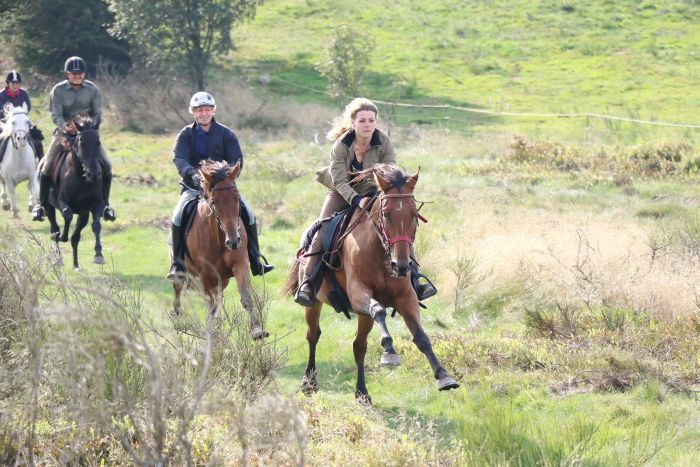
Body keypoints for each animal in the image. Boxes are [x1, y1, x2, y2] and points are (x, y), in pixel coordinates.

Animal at [172, 161, 266, 340]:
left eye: (237, 198)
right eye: (214, 201)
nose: (234, 241)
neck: (218, 239)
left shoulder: (240, 264)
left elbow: (245, 296)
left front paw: (257, 330)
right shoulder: (205, 275)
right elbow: (210, 305)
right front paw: (212, 336)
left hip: (222, 280)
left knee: (218, 299)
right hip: (183, 274)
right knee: (178, 289)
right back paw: (179, 321)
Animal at [284, 164, 460, 402]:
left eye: (414, 214)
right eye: (385, 214)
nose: (401, 266)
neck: (381, 254)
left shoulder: (406, 299)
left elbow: (421, 337)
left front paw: (443, 376)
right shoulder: (359, 295)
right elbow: (379, 310)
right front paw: (389, 351)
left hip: (363, 316)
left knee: (359, 346)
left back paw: (362, 393)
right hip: (315, 303)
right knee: (313, 335)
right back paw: (309, 383)